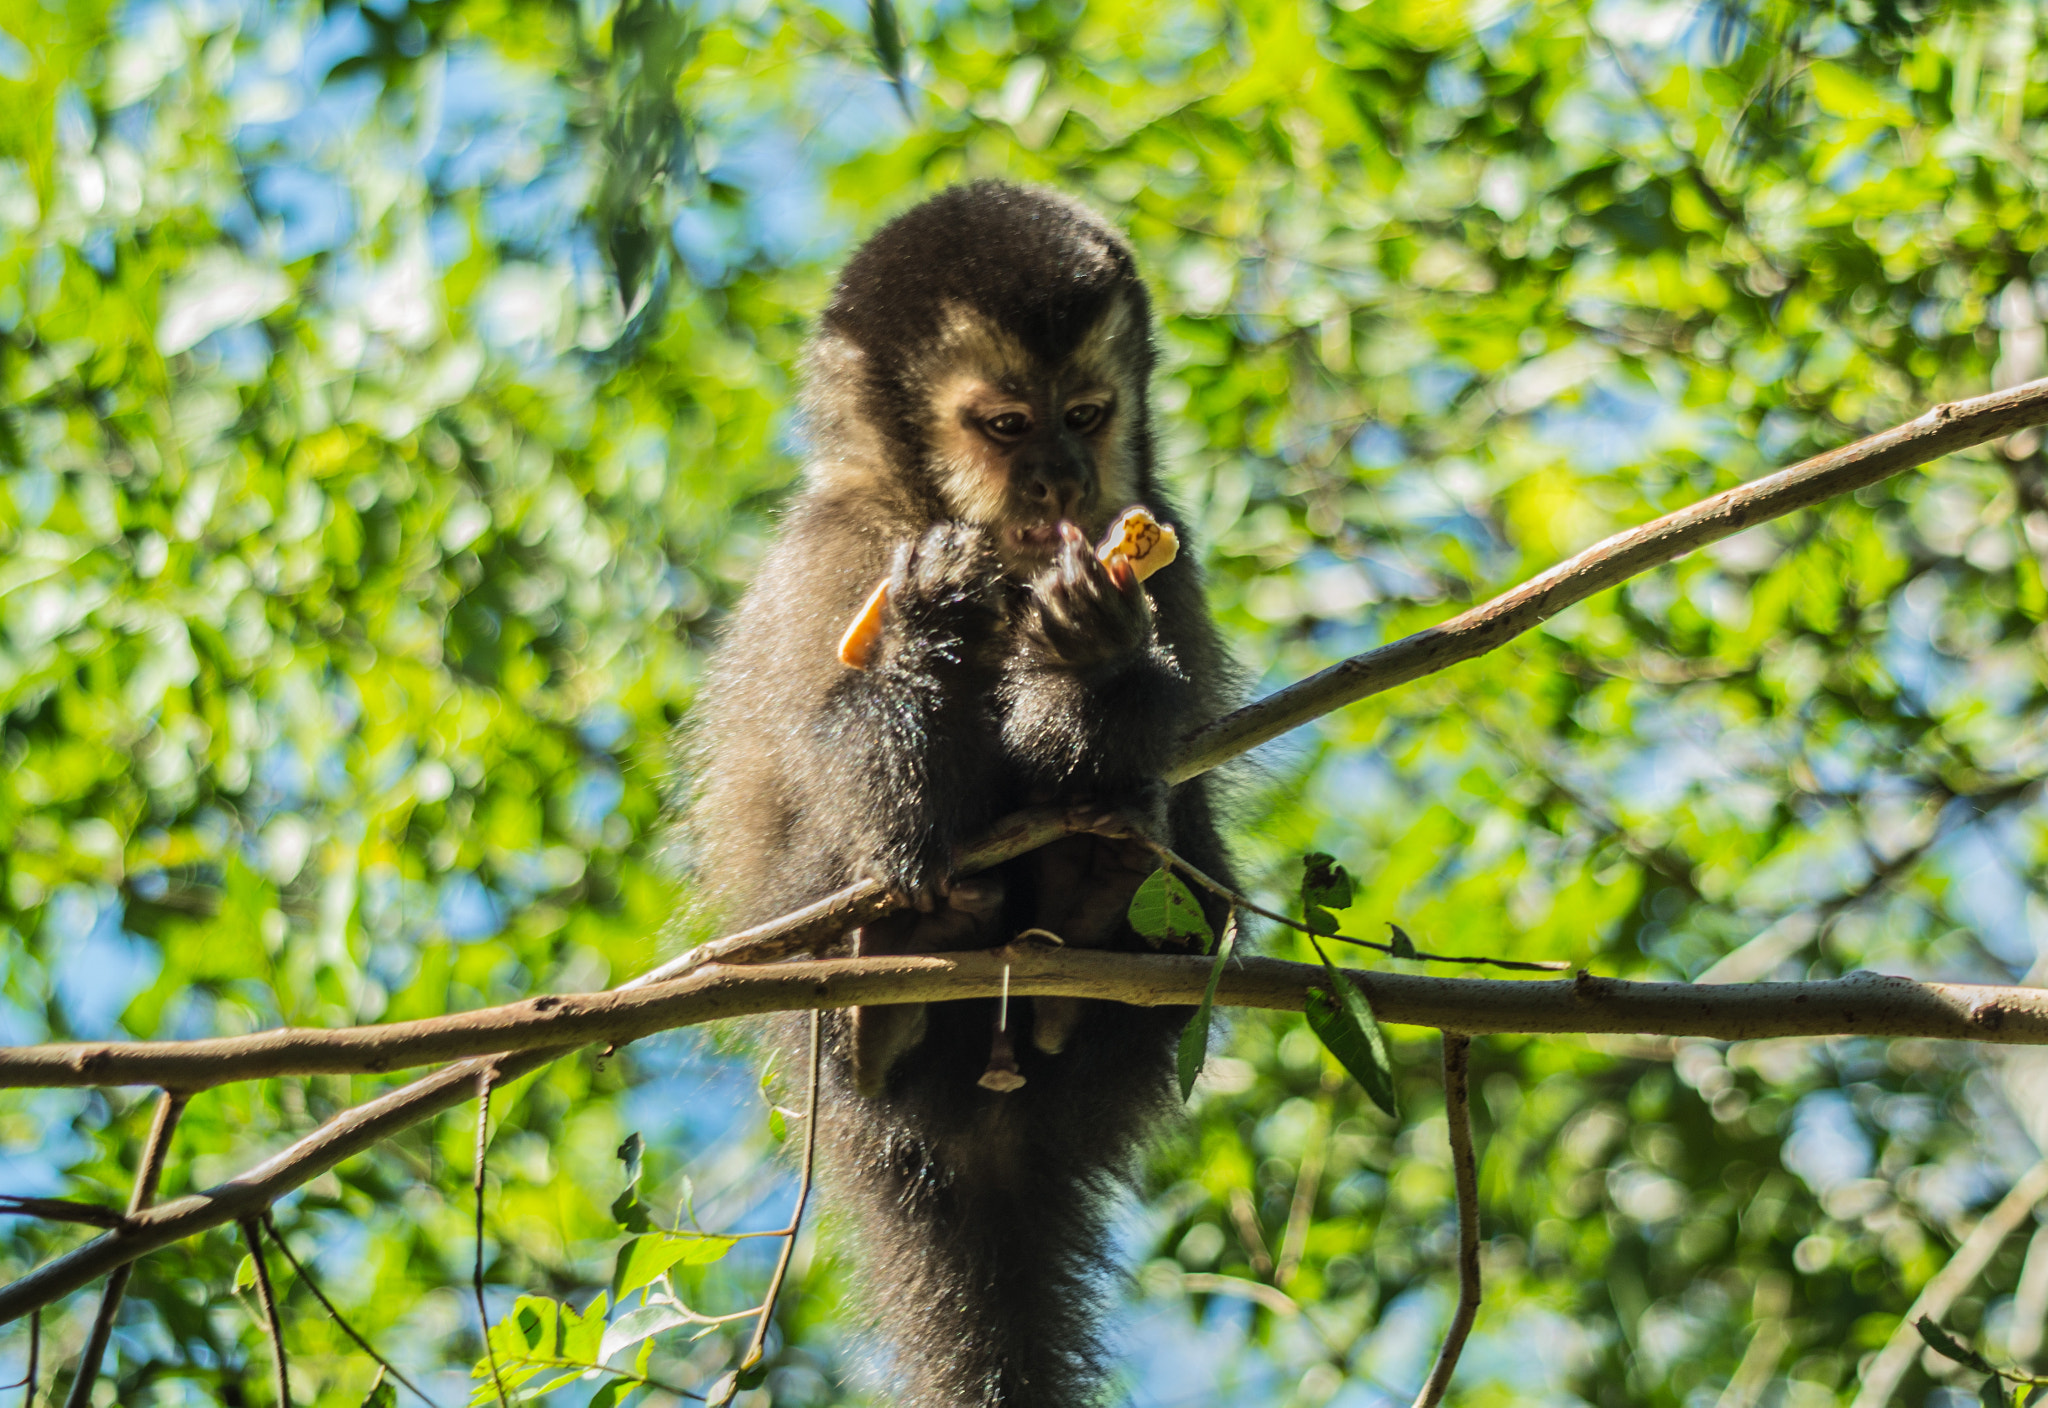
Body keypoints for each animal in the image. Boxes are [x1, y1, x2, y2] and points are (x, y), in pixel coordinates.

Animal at [688, 181, 1228, 1408]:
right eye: (1007, 427)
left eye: (1085, 415)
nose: (1063, 484)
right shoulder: (838, 549)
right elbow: (855, 771)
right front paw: (927, 630)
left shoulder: (1167, 547)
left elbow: (1127, 749)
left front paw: (1091, 656)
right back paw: (900, 967)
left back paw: (1089, 903)